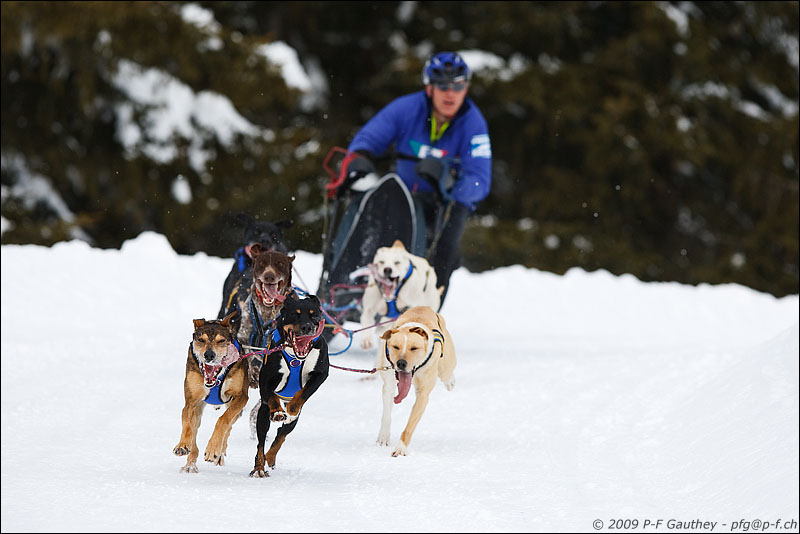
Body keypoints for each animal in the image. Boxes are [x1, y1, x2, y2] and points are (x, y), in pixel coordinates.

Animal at [173, 311, 249, 473]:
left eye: (221, 341)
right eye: (201, 340)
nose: (209, 355)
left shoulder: (241, 397)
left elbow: (223, 420)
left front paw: (213, 449)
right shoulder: (192, 402)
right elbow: (188, 425)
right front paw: (183, 445)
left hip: (235, 409)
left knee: (229, 425)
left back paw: (219, 452)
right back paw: (190, 464)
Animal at [250, 294, 329, 477]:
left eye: (314, 315)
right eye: (295, 314)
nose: (307, 327)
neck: (296, 357)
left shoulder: (321, 374)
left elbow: (304, 392)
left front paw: (292, 407)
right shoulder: (266, 382)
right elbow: (271, 396)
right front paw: (278, 412)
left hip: (291, 423)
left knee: (282, 434)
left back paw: (270, 457)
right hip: (262, 416)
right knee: (261, 443)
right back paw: (259, 468)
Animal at [377, 305, 456, 457]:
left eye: (414, 348)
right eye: (395, 346)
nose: (401, 363)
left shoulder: (423, 395)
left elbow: (409, 426)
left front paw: (400, 448)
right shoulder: (388, 386)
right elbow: (386, 415)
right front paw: (383, 437)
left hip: (445, 366)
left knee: (447, 373)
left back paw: (450, 382)